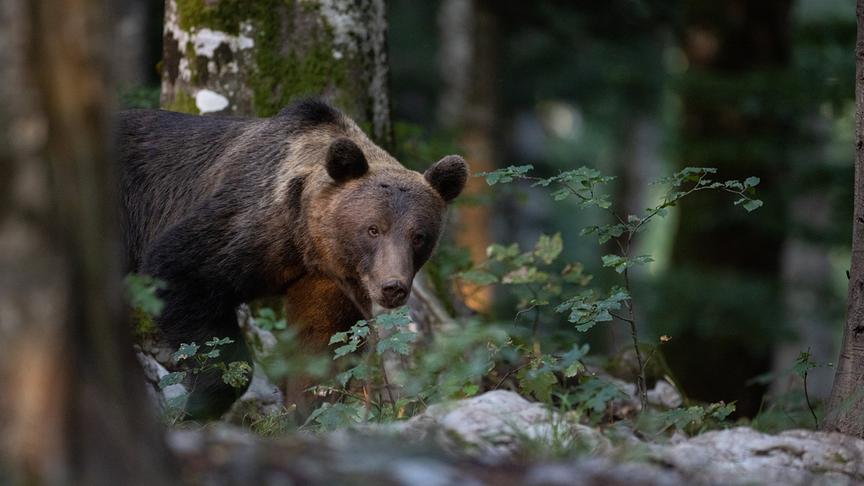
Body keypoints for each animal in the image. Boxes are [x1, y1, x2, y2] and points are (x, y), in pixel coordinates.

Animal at [118, 99, 468, 420]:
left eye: (418, 236)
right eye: (373, 229)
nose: (392, 286)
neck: (305, 240)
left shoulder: (326, 281)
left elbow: (323, 345)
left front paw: (309, 410)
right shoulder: (245, 228)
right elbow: (183, 274)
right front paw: (200, 404)